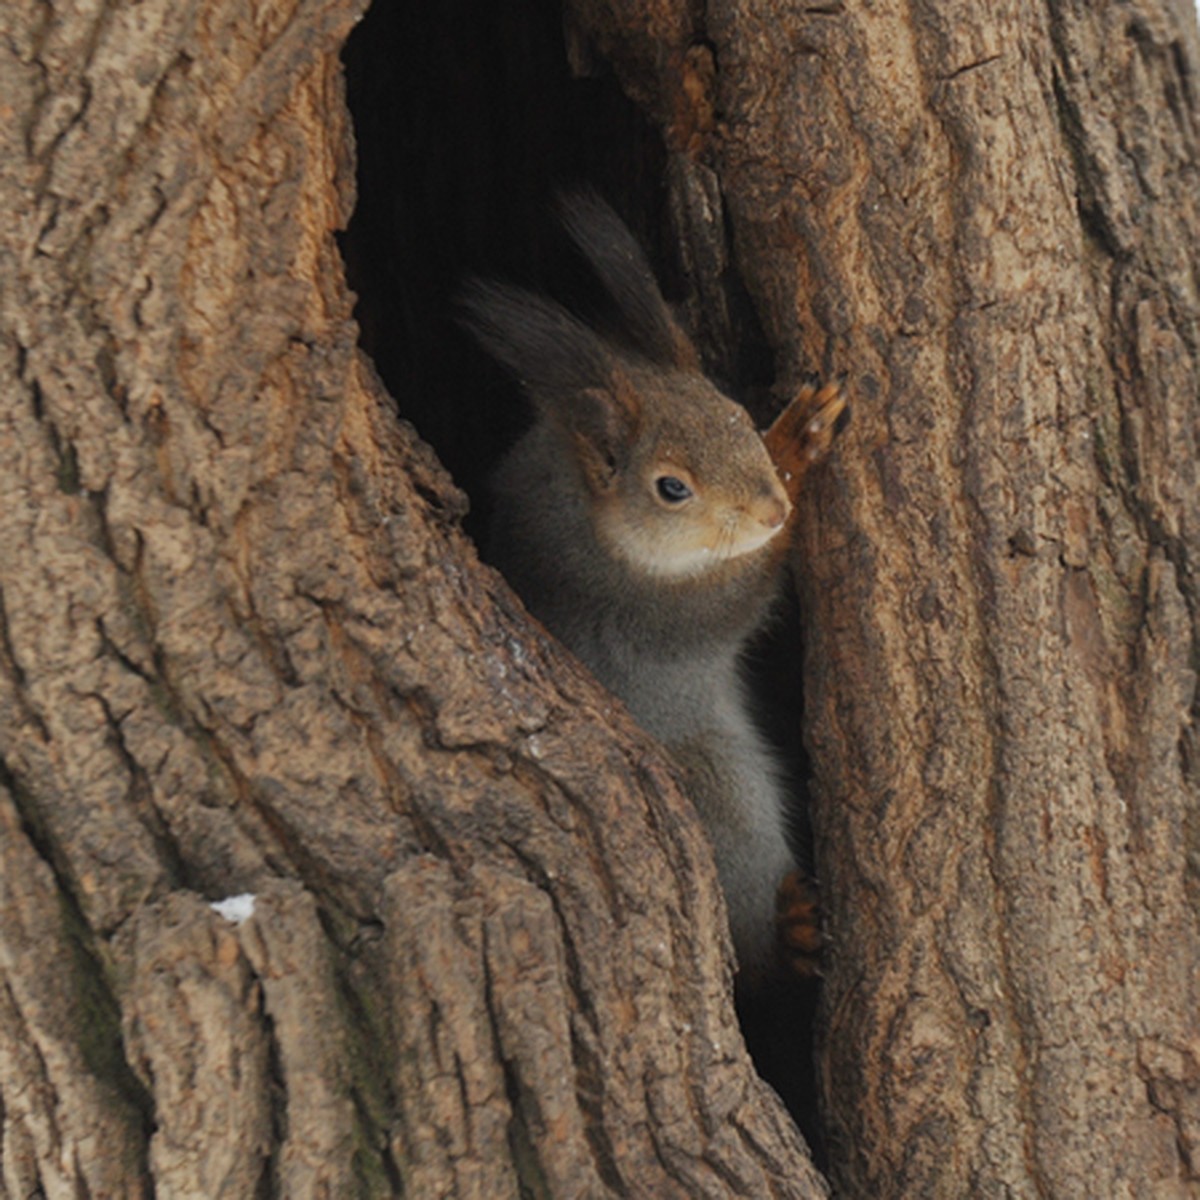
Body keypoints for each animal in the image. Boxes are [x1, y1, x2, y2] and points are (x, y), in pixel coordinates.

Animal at [458, 194, 844, 984]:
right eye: (671, 488)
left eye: (735, 414)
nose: (771, 508)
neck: (579, 514)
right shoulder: (646, 611)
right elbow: (741, 597)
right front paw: (798, 444)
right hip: (718, 793)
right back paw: (788, 928)